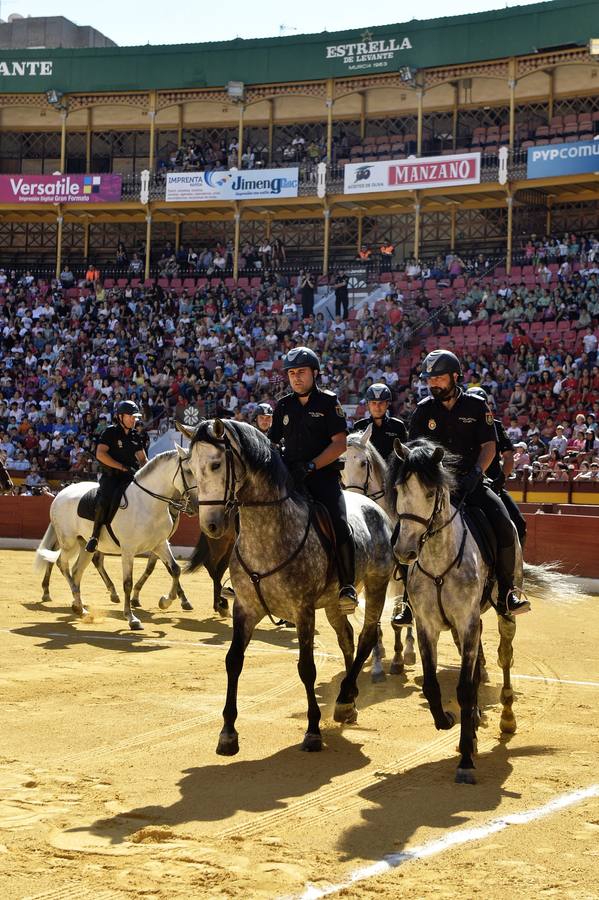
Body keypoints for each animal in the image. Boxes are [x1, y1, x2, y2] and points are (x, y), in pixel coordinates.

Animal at [185, 418, 396, 756]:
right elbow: (233, 661)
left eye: (216, 464)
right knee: (347, 638)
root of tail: (372, 506)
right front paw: (228, 734)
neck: (268, 532)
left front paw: (312, 732)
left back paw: (346, 697)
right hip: (334, 602)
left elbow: (306, 667)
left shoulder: (303, 610)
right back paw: (347, 702)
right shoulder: (245, 608)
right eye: (190, 467)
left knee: (366, 636)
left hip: (377, 585)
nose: (211, 525)